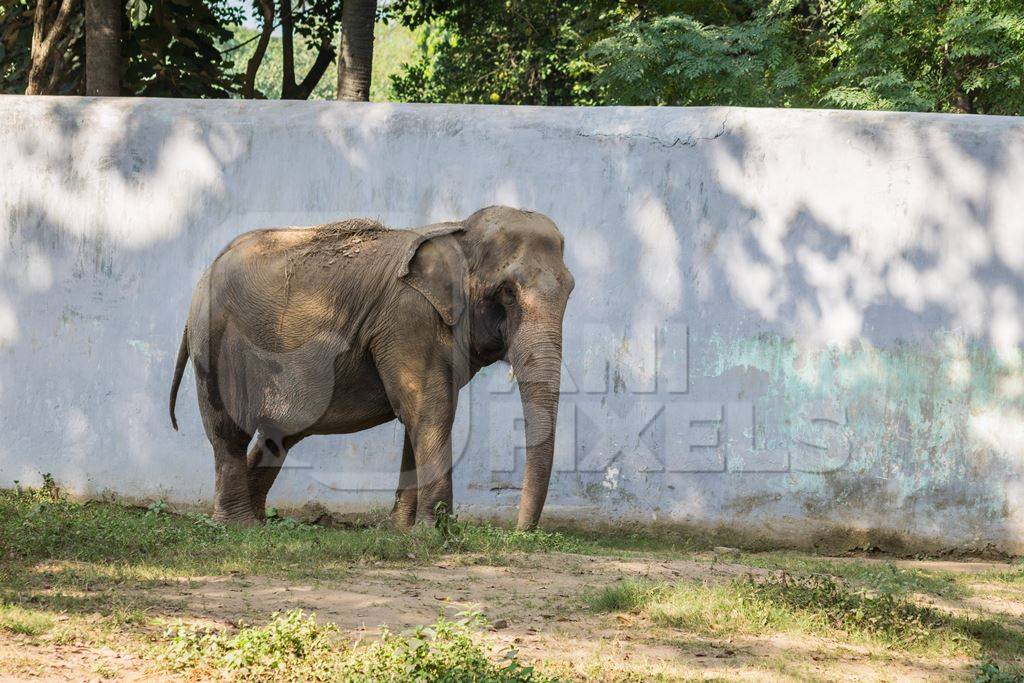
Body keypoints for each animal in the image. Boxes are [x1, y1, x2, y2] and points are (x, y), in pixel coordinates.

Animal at [163, 205, 573, 532]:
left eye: (570, 289)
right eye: (507, 292)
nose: (520, 533)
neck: (458, 232)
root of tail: (207, 271)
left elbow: (420, 415)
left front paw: (401, 530)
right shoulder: (408, 318)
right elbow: (431, 410)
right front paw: (433, 532)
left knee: (277, 437)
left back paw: (259, 522)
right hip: (217, 344)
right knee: (229, 431)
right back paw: (239, 526)